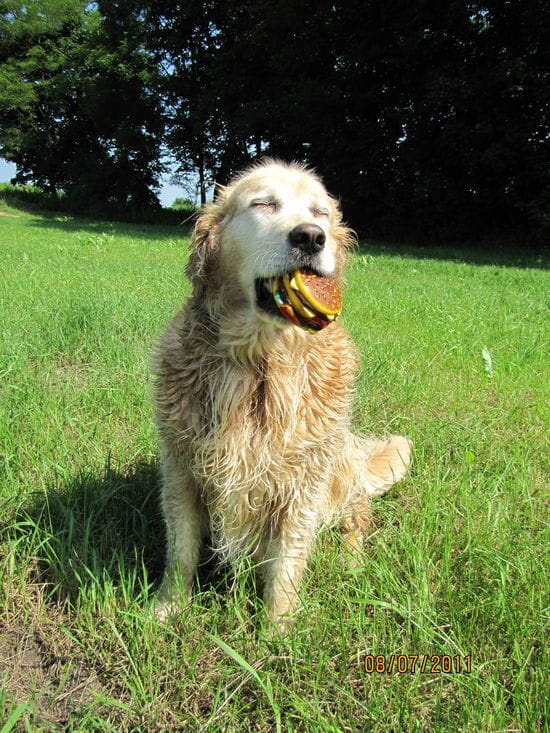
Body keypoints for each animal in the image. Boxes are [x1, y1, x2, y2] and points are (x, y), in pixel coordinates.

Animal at [153, 162, 412, 628]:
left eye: (320, 212)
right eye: (264, 204)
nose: (311, 237)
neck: (260, 360)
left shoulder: (305, 481)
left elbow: (287, 564)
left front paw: (277, 630)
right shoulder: (180, 467)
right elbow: (180, 553)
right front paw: (166, 609)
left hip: (343, 462)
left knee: (357, 515)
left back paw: (351, 561)